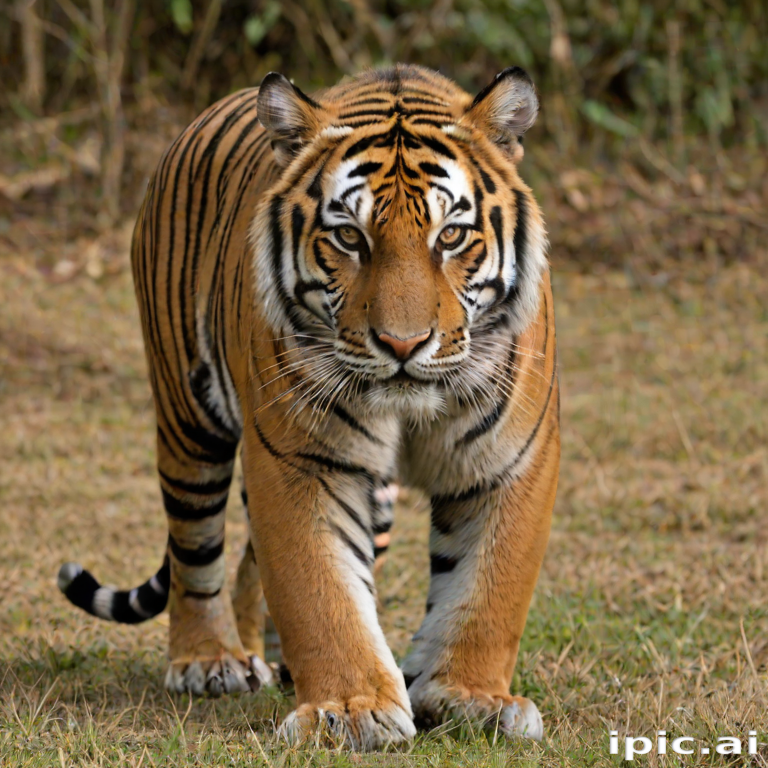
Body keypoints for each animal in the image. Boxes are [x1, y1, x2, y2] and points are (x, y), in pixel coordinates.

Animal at [57, 64, 559, 750]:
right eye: (349, 236)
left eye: (452, 235)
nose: (403, 345)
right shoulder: (301, 461)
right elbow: (318, 589)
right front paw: (351, 709)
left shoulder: (509, 461)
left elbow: (488, 590)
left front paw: (471, 697)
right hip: (189, 418)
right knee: (195, 549)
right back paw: (209, 661)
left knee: (251, 564)